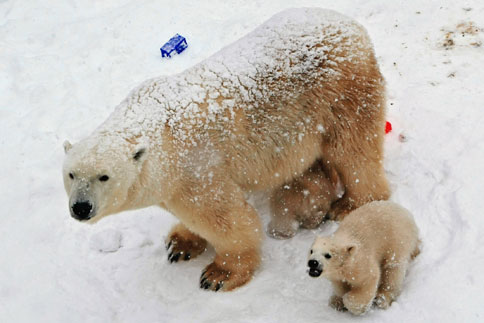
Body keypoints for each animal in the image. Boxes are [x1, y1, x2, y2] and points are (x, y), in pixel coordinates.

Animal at [63, 7, 390, 292]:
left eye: (104, 176)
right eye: (71, 174)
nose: (81, 207)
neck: (163, 134)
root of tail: (352, 27)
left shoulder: (197, 169)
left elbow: (227, 219)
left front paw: (218, 274)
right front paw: (179, 244)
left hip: (342, 95)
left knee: (353, 150)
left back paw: (349, 203)